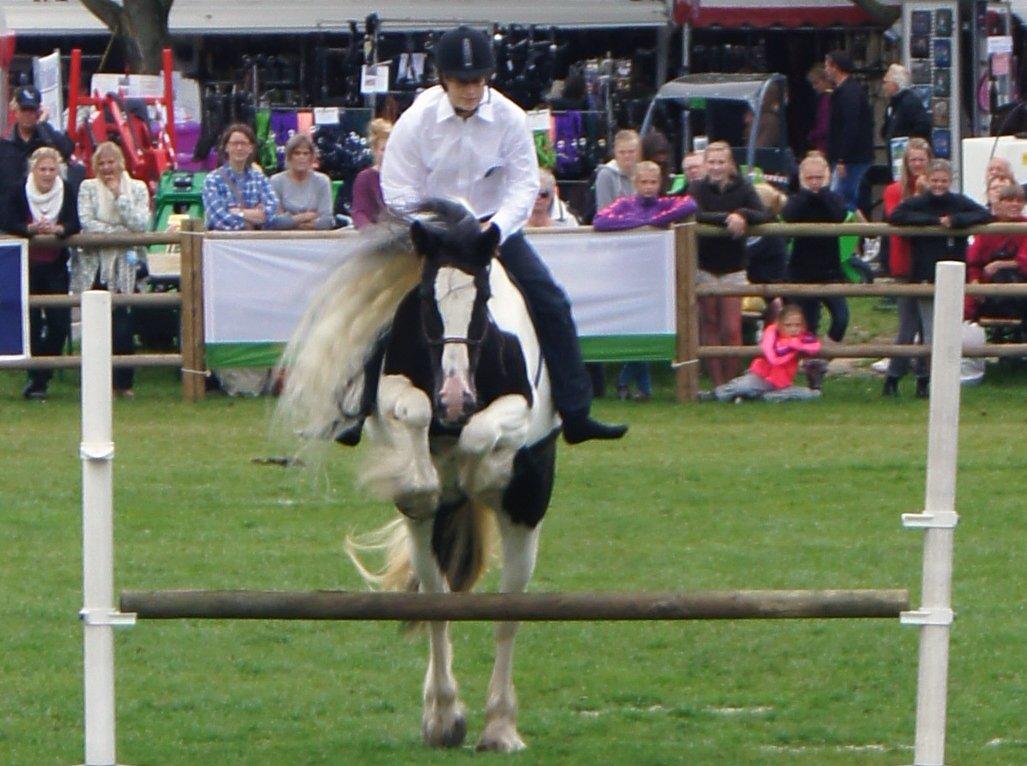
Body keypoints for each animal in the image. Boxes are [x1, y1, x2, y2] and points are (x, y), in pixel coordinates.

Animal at [277, 198, 558, 751]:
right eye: (427, 297)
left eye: (483, 297)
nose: (455, 397)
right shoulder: (391, 395)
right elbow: (415, 417)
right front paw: (426, 480)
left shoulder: (516, 408)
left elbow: (481, 437)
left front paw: (484, 467)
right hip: (425, 540)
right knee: (437, 601)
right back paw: (443, 718)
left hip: (527, 517)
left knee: (508, 615)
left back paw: (500, 726)